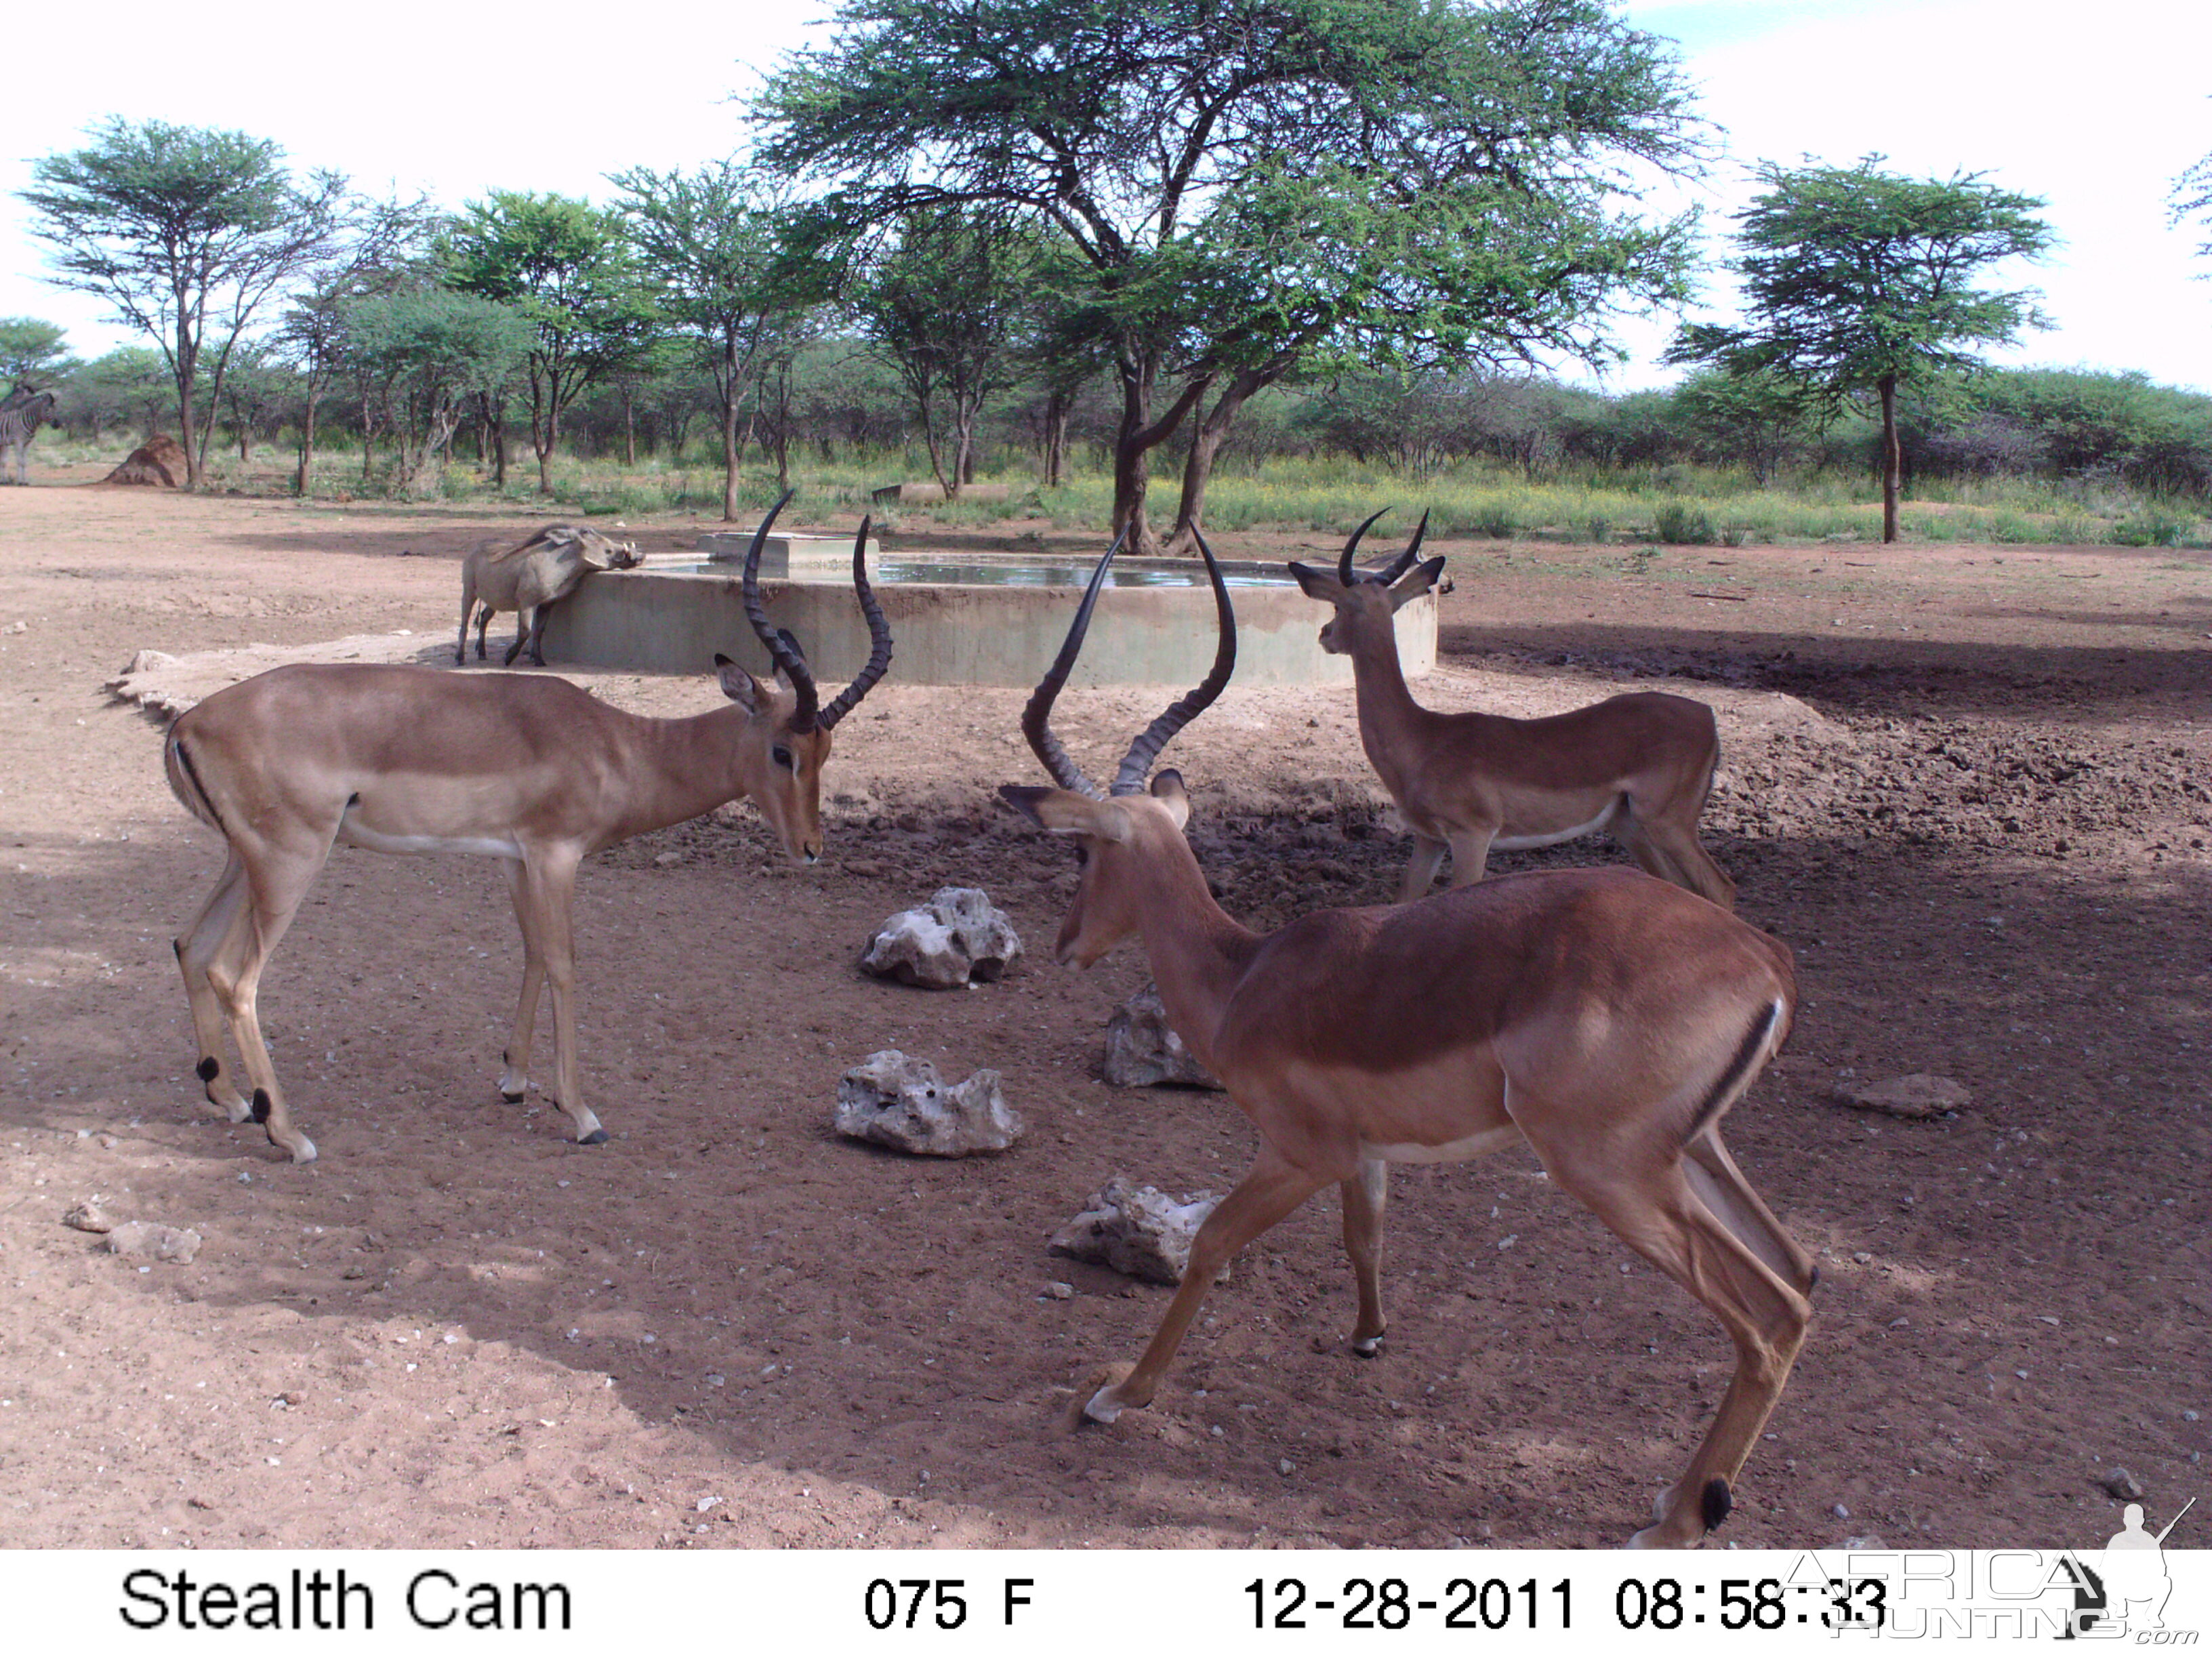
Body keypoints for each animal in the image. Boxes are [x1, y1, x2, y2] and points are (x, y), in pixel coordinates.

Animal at [0, 389, 58, 487]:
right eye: (47, 409)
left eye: (56, 409)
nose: (57, 425)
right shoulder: (18, 442)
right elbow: (20, 461)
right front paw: (20, 482)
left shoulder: (28, 444)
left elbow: (24, 462)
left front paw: (25, 482)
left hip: (3, 444)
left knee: (3, 461)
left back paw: (4, 481)